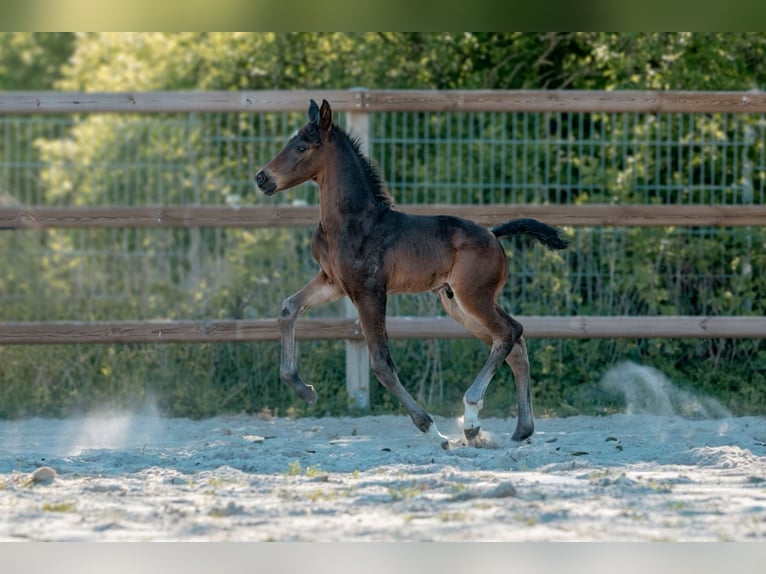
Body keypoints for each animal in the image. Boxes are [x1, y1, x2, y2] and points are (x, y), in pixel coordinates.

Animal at [255, 99, 569, 449]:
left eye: (301, 147)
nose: (261, 178)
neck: (351, 222)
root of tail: (493, 233)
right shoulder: (334, 282)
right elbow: (288, 308)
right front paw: (303, 389)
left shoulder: (370, 292)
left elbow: (381, 363)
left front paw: (432, 430)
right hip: (456, 303)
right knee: (513, 343)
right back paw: (518, 430)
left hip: (474, 298)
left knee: (510, 332)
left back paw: (472, 417)